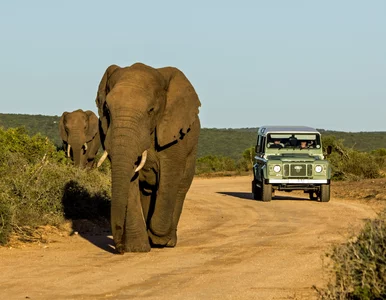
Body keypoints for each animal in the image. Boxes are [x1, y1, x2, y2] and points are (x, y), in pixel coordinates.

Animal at [95, 62, 201, 252]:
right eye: (107, 109)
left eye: (151, 110)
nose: (120, 248)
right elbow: (130, 181)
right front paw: (137, 248)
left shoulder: (174, 136)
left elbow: (170, 177)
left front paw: (158, 238)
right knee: (146, 191)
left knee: (180, 187)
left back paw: (168, 242)